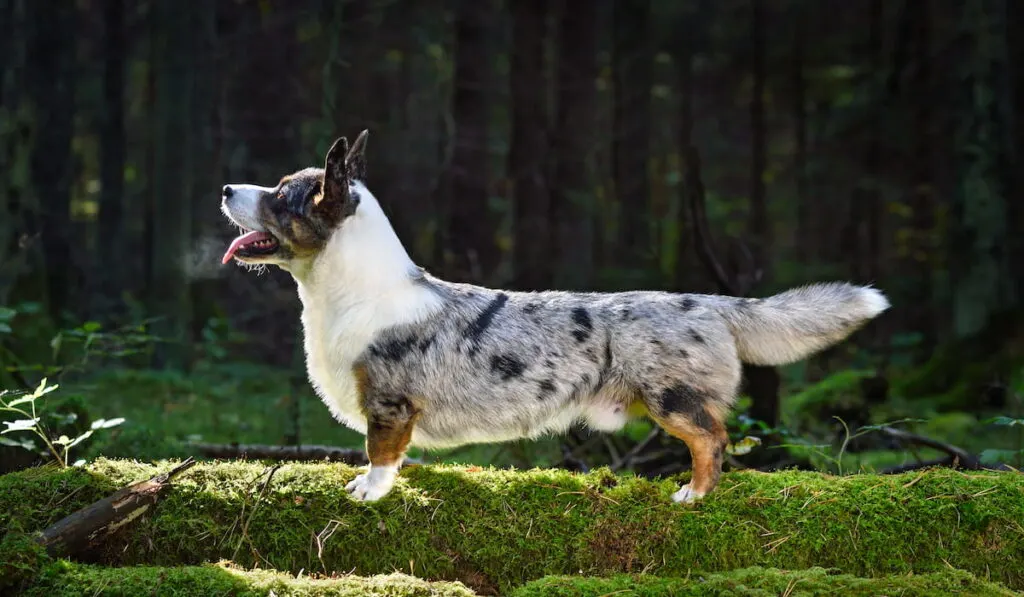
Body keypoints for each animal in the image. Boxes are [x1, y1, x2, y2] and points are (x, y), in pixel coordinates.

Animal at [222, 131, 888, 503]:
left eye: (281, 195)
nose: (227, 188)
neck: (349, 291)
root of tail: (714, 303)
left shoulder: (389, 404)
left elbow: (380, 454)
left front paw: (369, 491)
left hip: (670, 398)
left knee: (713, 439)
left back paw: (693, 495)